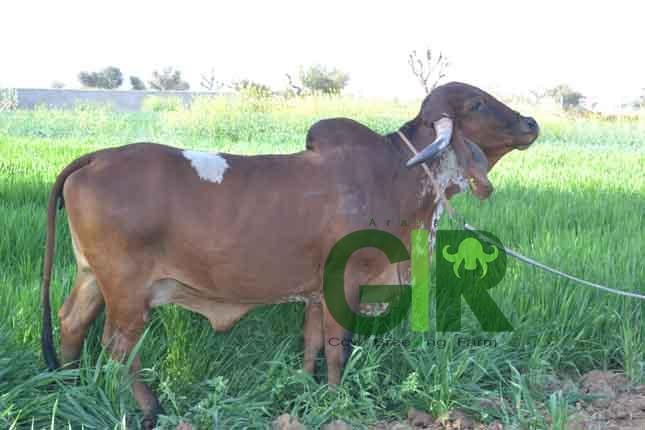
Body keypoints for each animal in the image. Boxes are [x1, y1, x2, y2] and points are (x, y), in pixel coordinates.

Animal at [41, 82, 539, 428]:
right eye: (476, 104)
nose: (532, 123)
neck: (397, 176)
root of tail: (96, 157)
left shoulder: (317, 291)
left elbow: (311, 342)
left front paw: (304, 388)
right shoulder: (345, 281)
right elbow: (337, 347)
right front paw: (337, 401)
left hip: (92, 276)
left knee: (72, 322)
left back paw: (70, 384)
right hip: (127, 289)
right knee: (118, 344)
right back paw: (149, 407)